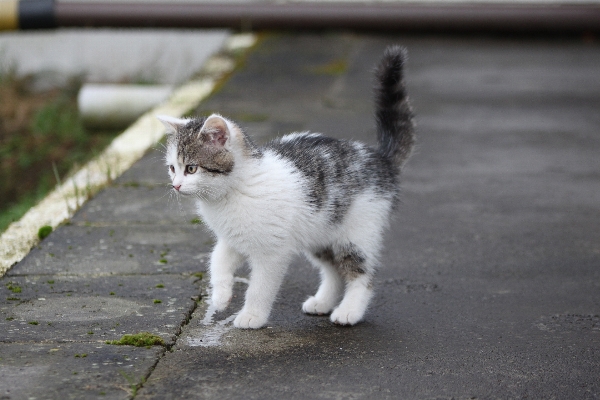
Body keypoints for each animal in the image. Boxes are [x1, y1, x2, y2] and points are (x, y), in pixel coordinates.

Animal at [157, 46, 414, 328]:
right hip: (320, 233)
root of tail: (380, 158)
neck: (234, 192)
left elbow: (260, 286)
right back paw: (322, 302)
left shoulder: (272, 251)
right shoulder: (231, 238)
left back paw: (349, 311)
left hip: (356, 232)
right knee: (333, 270)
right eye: (172, 168)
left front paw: (252, 316)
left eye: (191, 168)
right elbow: (218, 260)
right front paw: (221, 296)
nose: (176, 185)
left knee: (361, 272)